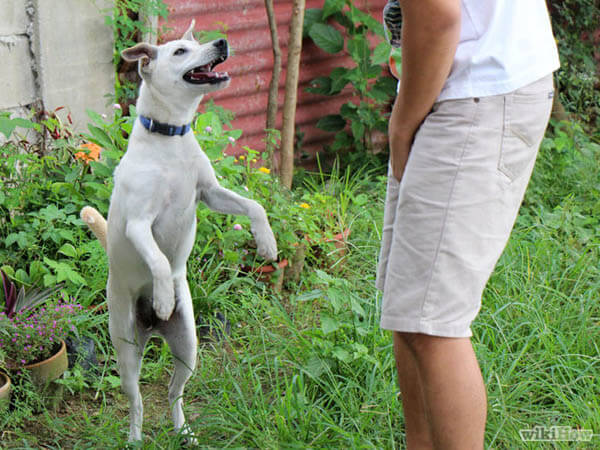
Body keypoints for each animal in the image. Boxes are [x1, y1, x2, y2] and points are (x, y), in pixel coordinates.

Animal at [80, 22, 278, 442]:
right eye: (180, 51)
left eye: (198, 42)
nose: (221, 42)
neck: (169, 137)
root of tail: (153, 331)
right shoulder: (139, 224)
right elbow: (156, 259)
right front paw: (163, 296)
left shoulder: (210, 193)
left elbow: (254, 205)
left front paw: (266, 243)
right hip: (126, 353)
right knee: (137, 401)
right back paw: (135, 438)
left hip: (189, 347)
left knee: (175, 392)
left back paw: (183, 431)